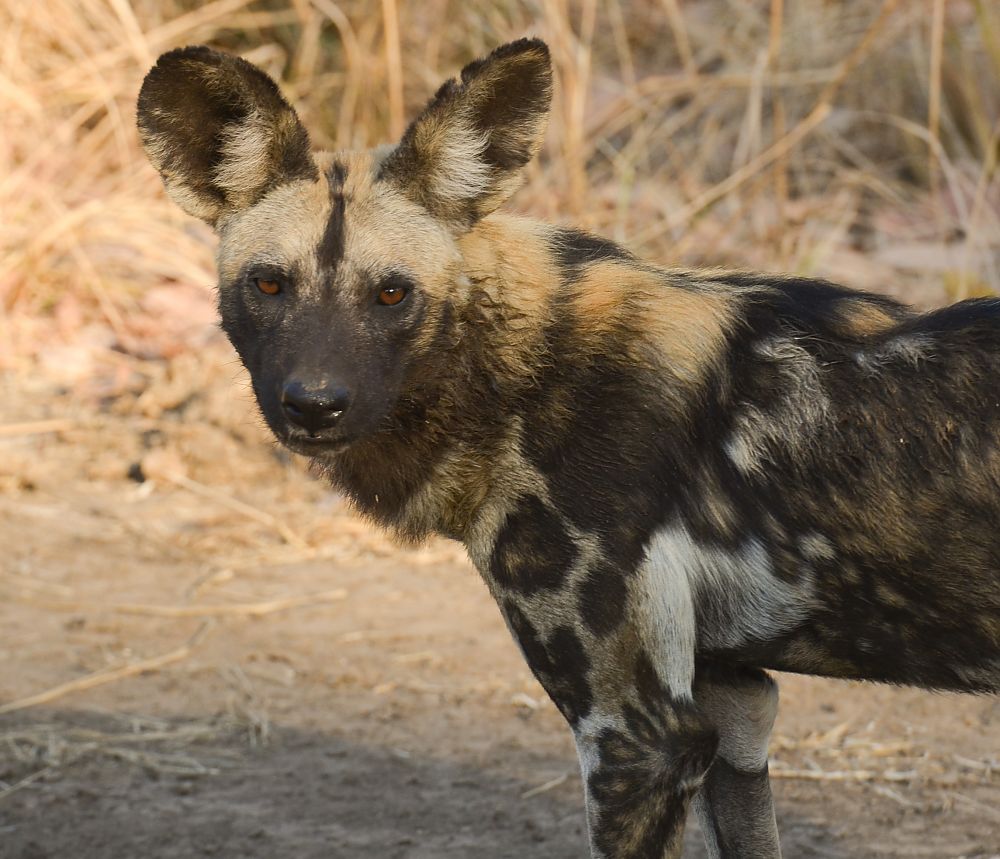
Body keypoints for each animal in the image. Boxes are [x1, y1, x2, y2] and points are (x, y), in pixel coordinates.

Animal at [139, 38, 1000, 859]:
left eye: (392, 293)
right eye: (268, 285)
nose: (314, 403)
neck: (518, 370)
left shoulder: (636, 738)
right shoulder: (732, 703)